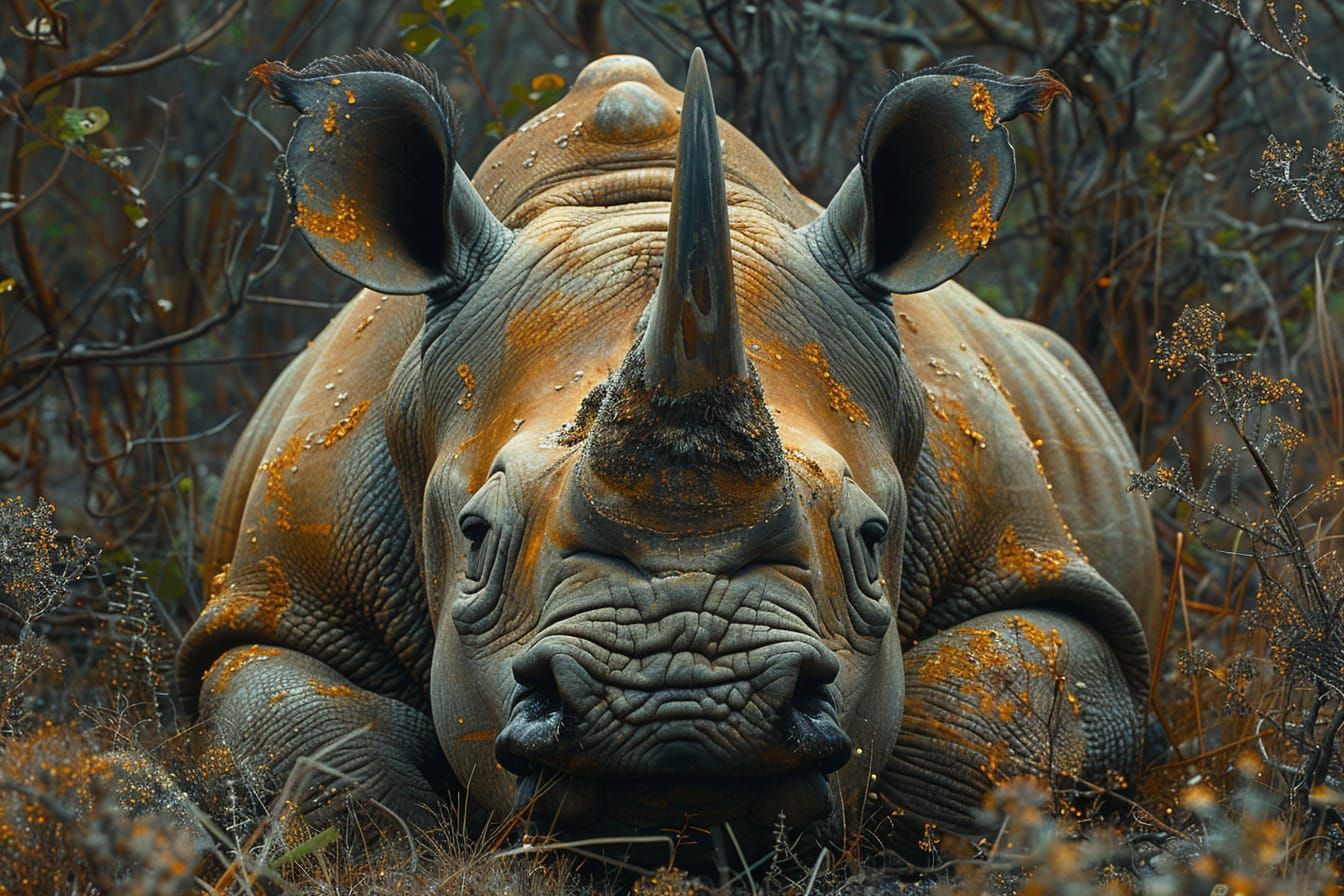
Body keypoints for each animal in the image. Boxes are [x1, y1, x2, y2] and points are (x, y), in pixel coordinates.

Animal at [179, 48, 1158, 861]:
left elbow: (989, 694)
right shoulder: (278, 593)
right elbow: (300, 730)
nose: (682, 698)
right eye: (475, 534)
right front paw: (411, 855)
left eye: (873, 539)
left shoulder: (1035, 563)